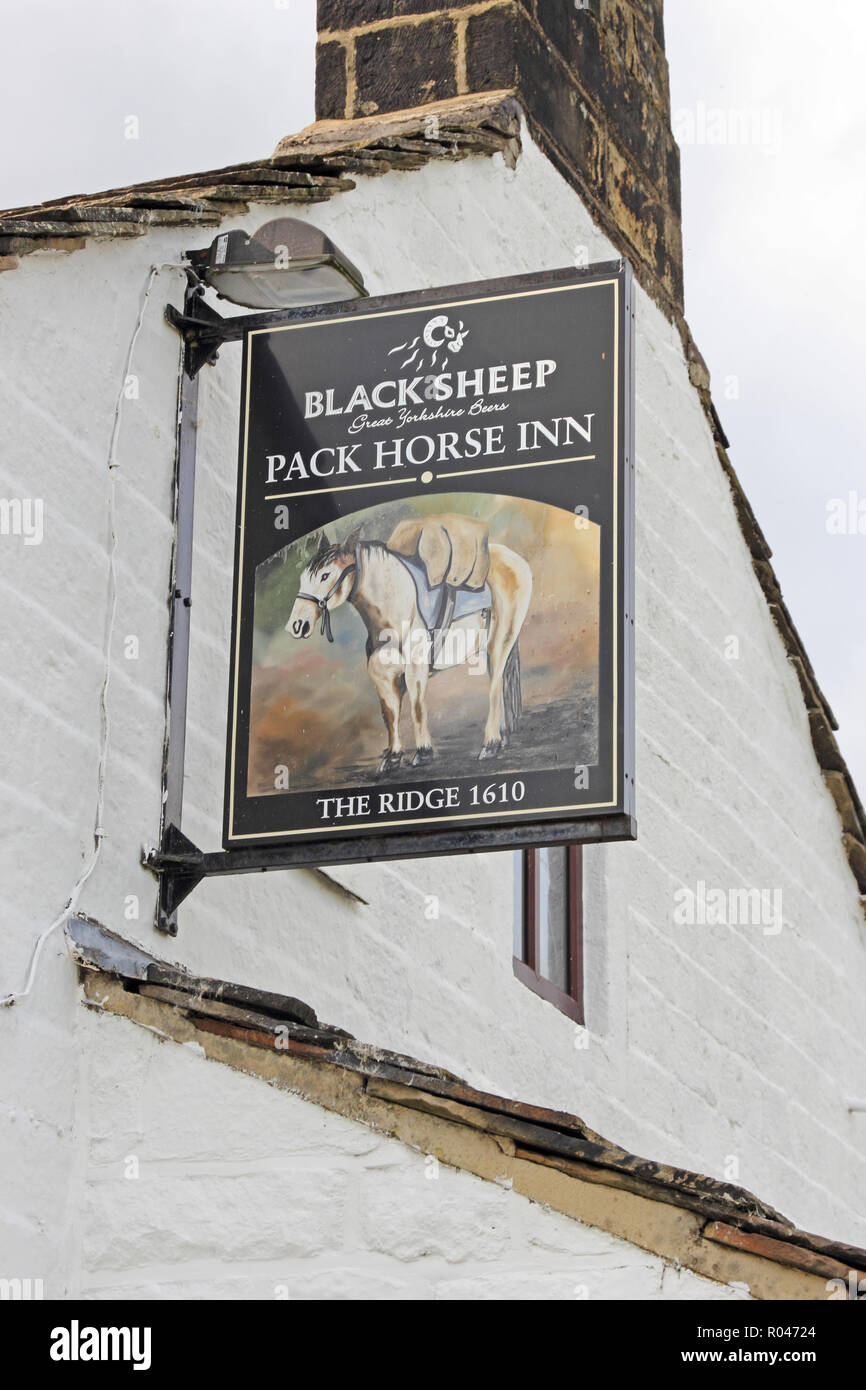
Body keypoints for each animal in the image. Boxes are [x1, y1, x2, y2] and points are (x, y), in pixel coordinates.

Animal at [287, 522, 530, 778]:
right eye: (304, 577)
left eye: (325, 575)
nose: (297, 625)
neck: (398, 609)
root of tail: (513, 559)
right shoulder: (383, 678)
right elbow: (390, 713)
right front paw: (392, 757)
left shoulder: (415, 669)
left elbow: (416, 707)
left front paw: (423, 753)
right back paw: (502, 737)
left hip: (501, 640)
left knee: (494, 688)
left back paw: (490, 744)